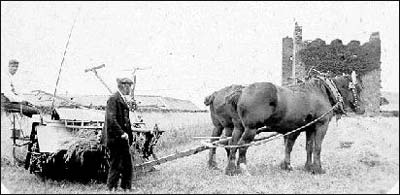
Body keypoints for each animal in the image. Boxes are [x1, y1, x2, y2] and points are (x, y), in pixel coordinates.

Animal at [225, 71, 366, 175]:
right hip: (251, 129)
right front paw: (318, 168)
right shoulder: (321, 125)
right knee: (242, 145)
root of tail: (242, 92)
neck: (323, 92)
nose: (363, 109)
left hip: (239, 127)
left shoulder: (310, 128)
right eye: (357, 89)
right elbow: (317, 147)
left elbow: (308, 147)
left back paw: (231, 169)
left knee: (233, 143)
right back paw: (243, 168)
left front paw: (308, 167)